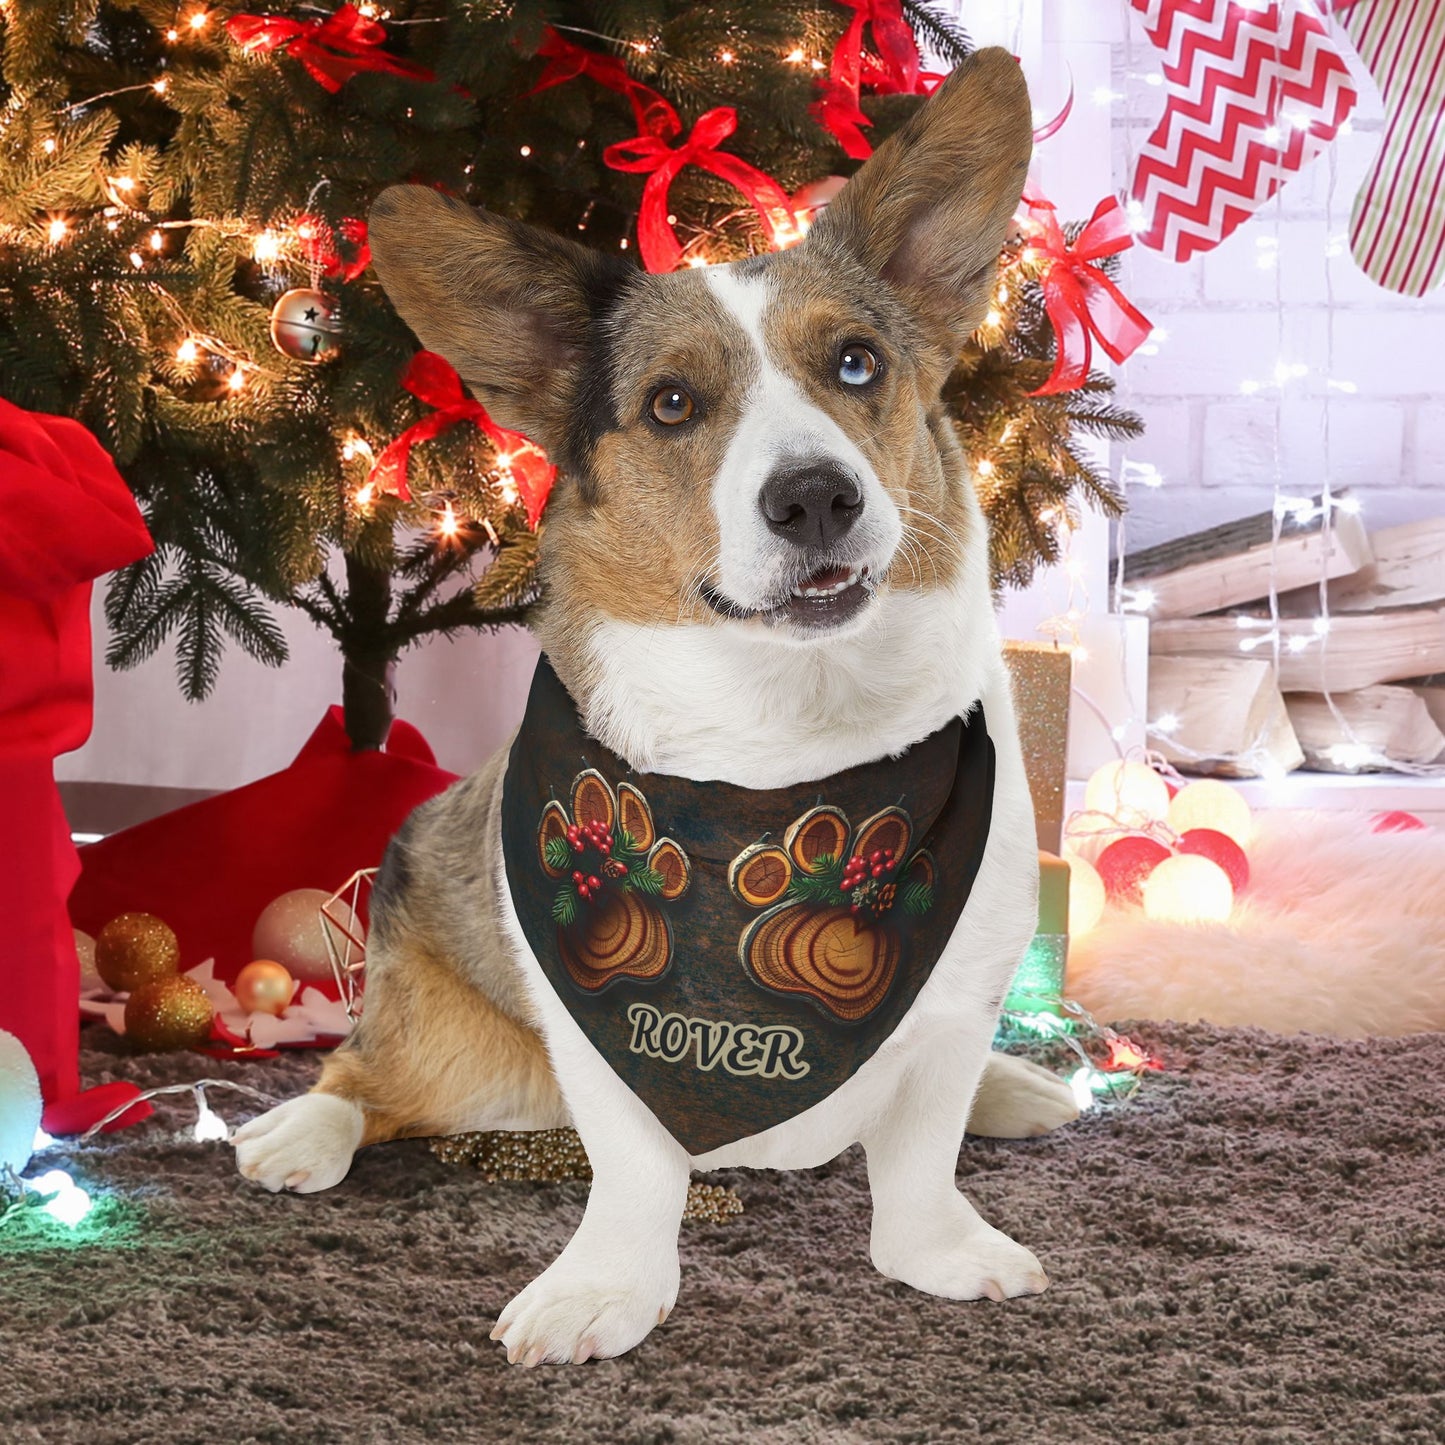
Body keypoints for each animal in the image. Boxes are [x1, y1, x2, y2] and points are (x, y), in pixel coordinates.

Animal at [231, 50, 1080, 1364]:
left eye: (855, 363)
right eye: (672, 403)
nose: (815, 498)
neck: (787, 744)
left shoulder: (956, 997)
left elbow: (921, 1150)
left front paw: (938, 1248)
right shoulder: (601, 1037)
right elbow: (632, 1173)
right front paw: (601, 1290)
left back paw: (1016, 1089)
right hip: (456, 1049)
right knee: (367, 1079)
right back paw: (300, 1132)